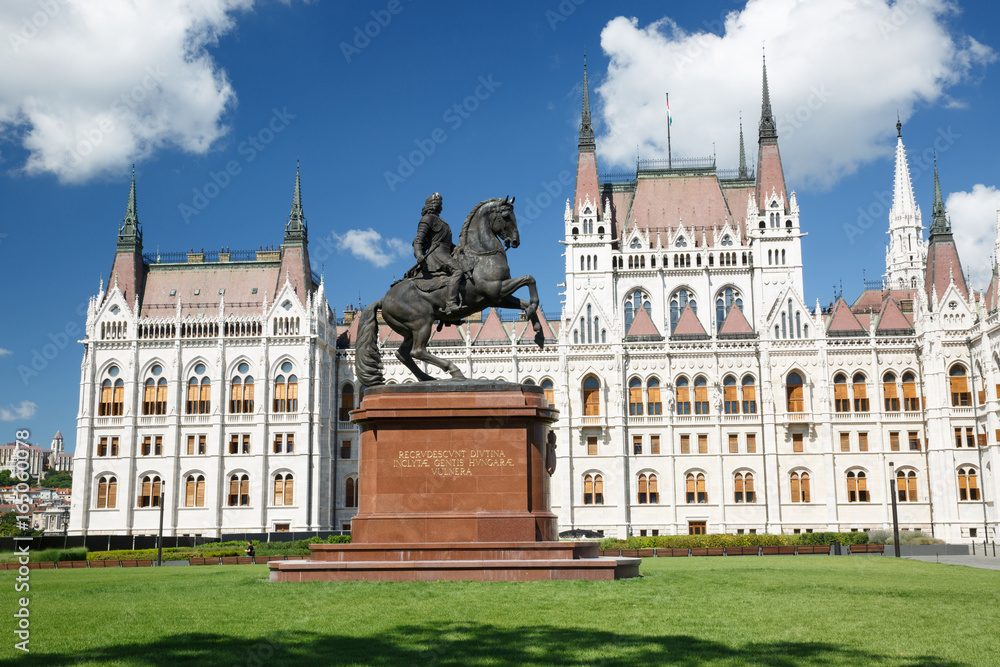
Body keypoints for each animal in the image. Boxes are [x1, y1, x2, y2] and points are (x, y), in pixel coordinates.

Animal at [356, 197, 544, 386]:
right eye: (506, 216)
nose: (515, 241)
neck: (481, 255)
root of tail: (384, 299)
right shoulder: (496, 289)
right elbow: (530, 279)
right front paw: (534, 316)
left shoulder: (498, 297)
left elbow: (526, 297)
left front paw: (538, 331)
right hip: (422, 322)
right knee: (417, 351)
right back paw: (453, 371)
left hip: (408, 330)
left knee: (403, 354)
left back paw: (426, 378)